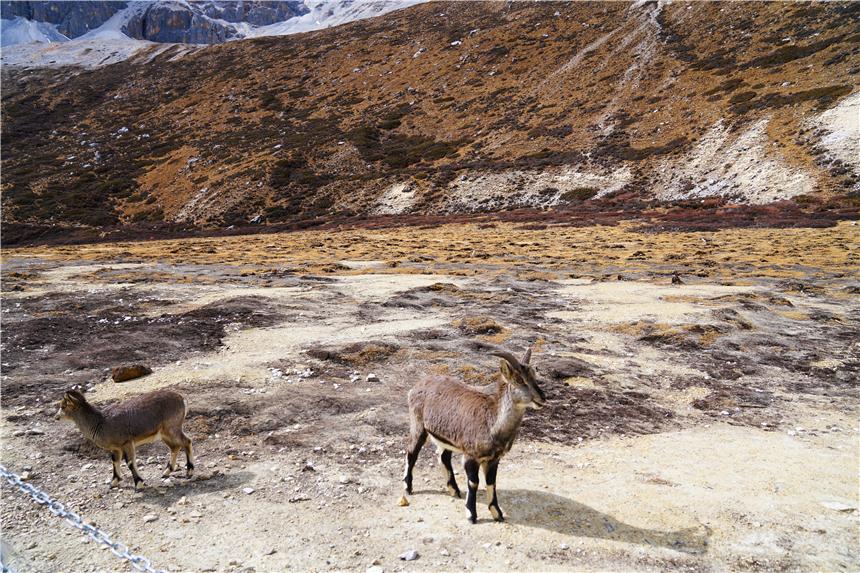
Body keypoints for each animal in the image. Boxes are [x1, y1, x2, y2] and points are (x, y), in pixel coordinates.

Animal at [58, 388, 195, 488]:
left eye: (63, 406)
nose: (56, 417)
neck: (100, 423)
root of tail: (182, 398)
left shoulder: (127, 443)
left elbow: (129, 462)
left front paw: (139, 483)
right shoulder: (115, 448)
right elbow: (115, 461)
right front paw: (114, 482)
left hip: (172, 428)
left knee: (186, 441)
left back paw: (189, 471)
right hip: (164, 434)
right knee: (175, 447)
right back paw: (166, 472)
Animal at [404, 344, 544, 524]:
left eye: (534, 375)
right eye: (519, 380)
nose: (542, 398)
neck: (493, 422)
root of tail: (416, 387)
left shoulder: (494, 459)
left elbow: (491, 483)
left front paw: (497, 513)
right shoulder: (471, 456)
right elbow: (474, 482)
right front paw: (471, 514)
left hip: (447, 435)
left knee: (444, 456)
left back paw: (454, 490)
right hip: (418, 425)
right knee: (412, 453)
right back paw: (408, 487)